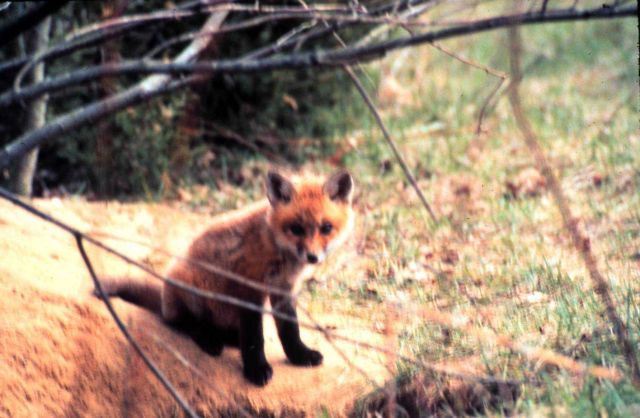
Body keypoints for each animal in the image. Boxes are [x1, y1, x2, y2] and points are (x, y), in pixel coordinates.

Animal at [98, 169, 354, 386]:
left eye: (326, 227)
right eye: (296, 228)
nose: (312, 257)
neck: (276, 248)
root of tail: (163, 298)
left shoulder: (283, 289)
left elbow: (289, 330)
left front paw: (299, 356)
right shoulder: (249, 289)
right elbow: (254, 338)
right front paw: (256, 370)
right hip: (193, 291)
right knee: (182, 323)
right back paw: (208, 338)